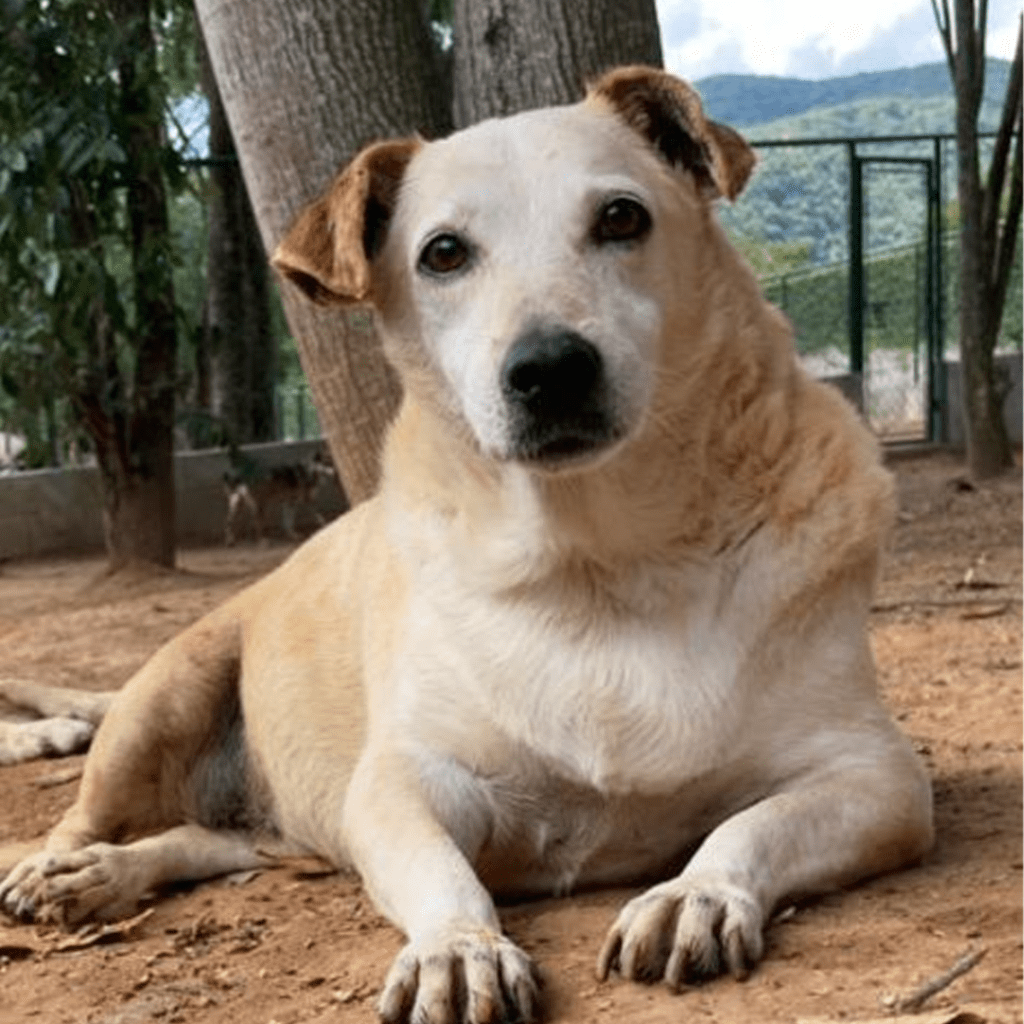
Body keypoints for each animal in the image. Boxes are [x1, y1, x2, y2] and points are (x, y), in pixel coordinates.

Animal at [0, 66, 933, 1024]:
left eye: (622, 217)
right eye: (443, 253)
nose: (550, 368)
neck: (600, 558)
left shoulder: (879, 779)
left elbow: (753, 822)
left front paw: (695, 893)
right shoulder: (402, 785)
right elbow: (446, 876)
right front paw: (458, 947)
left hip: (274, 831)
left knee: (200, 839)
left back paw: (113, 873)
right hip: (168, 694)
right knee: (83, 814)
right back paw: (68, 867)